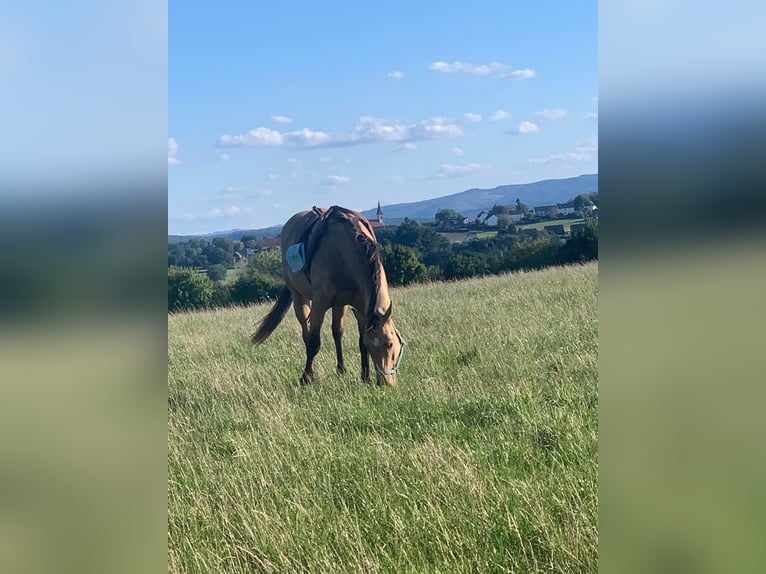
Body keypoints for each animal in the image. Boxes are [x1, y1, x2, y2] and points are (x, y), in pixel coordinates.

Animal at [252, 207, 408, 388]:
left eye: (390, 344)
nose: (385, 383)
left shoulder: (361, 306)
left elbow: (358, 340)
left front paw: (365, 377)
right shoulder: (320, 303)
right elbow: (314, 343)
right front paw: (305, 378)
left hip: (339, 305)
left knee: (336, 332)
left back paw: (341, 369)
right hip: (299, 297)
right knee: (307, 334)